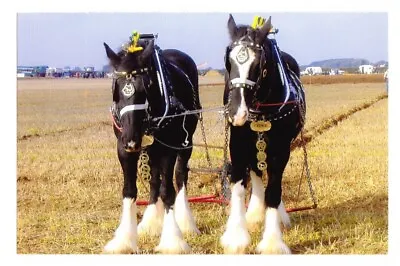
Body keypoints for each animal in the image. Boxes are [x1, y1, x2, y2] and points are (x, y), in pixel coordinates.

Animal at [103, 34, 202, 255]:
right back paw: (151, 222)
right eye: (116, 88)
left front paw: (173, 240)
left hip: (185, 143)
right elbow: (129, 190)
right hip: (151, 149)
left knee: (180, 176)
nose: (131, 139)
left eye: (145, 88)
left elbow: (168, 191)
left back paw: (186, 222)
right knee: (155, 180)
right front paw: (124, 240)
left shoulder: (169, 149)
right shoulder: (123, 150)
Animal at [222, 14, 306, 254]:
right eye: (228, 61)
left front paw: (272, 242)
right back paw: (255, 213)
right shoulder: (237, 146)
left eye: (259, 64)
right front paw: (236, 236)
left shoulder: (281, 151)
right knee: (257, 173)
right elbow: (239, 186)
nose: (236, 112)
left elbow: (274, 191)